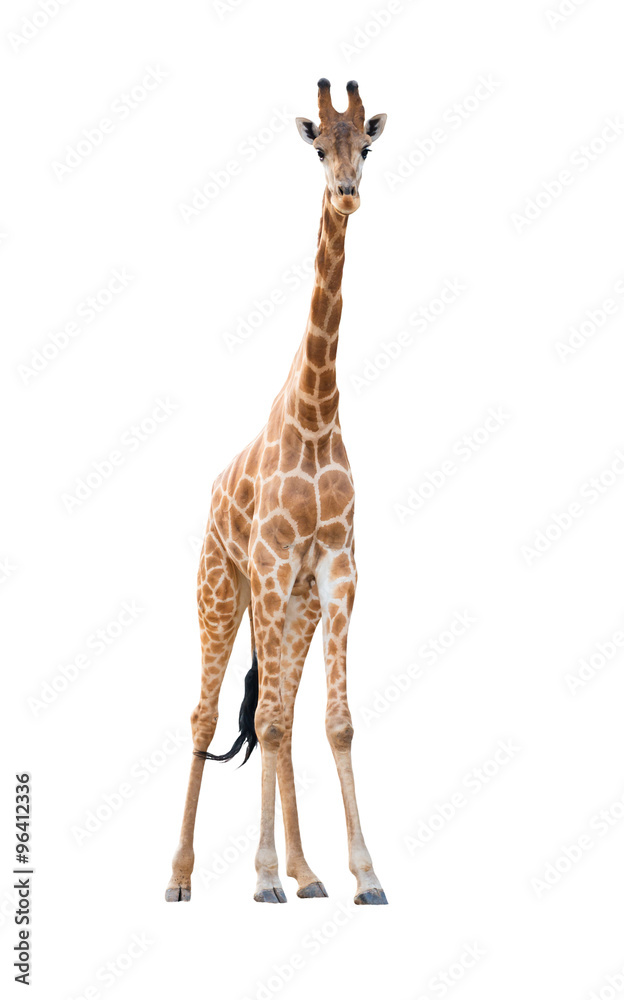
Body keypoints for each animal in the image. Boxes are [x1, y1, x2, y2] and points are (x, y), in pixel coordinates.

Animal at [165, 79, 388, 906]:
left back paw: (306, 872)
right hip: (221, 588)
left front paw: (363, 875)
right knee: (206, 716)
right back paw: (182, 877)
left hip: (291, 606)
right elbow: (262, 721)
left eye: (367, 145)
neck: (317, 413)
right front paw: (261, 878)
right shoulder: (267, 568)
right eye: (318, 146)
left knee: (281, 712)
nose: (348, 191)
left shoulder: (336, 572)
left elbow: (332, 720)